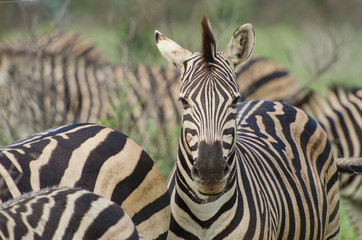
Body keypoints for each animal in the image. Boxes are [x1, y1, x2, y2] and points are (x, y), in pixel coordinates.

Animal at [155, 15, 340, 240]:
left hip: (331, 227)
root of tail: (272, 101)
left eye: (235, 101)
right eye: (184, 101)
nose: (211, 173)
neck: (204, 215)